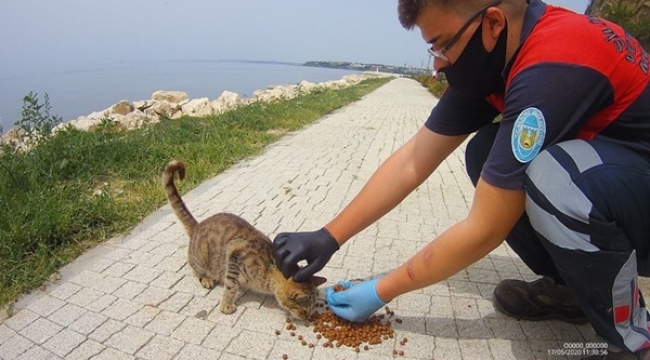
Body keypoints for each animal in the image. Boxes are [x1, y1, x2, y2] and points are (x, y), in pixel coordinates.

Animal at [162, 159, 324, 320]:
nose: (308, 318)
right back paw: (206, 278)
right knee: (195, 268)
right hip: (202, 256)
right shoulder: (234, 255)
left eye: (312, 307)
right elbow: (230, 287)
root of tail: (198, 225)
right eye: (303, 309)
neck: (270, 271)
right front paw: (227, 305)